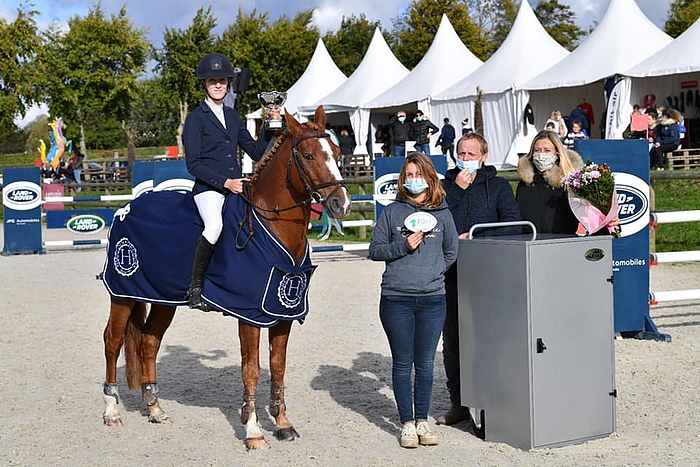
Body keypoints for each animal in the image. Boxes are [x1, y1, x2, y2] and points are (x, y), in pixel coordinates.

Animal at [101, 106, 352, 450]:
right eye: (309, 155)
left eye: (338, 154)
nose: (342, 204)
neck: (271, 224)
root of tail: (125, 208)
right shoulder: (248, 314)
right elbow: (251, 369)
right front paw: (253, 431)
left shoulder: (282, 313)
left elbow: (278, 366)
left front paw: (283, 423)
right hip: (123, 294)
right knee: (112, 342)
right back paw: (111, 411)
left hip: (162, 298)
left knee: (149, 342)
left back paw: (155, 410)